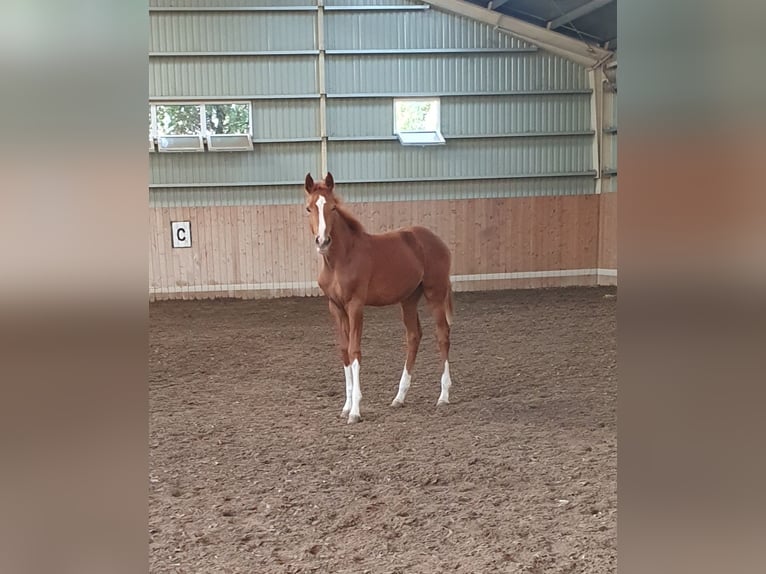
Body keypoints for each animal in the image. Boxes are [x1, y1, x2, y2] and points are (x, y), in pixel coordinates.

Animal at [304, 173, 452, 426]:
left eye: (332, 207)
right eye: (308, 208)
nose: (322, 241)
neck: (341, 259)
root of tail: (438, 241)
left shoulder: (355, 305)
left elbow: (354, 350)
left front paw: (355, 411)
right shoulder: (335, 307)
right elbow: (343, 350)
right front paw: (345, 407)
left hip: (435, 293)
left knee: (442, 335)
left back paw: (443, 396)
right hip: (409, 299)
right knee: (414, 336)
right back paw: (399, 397)